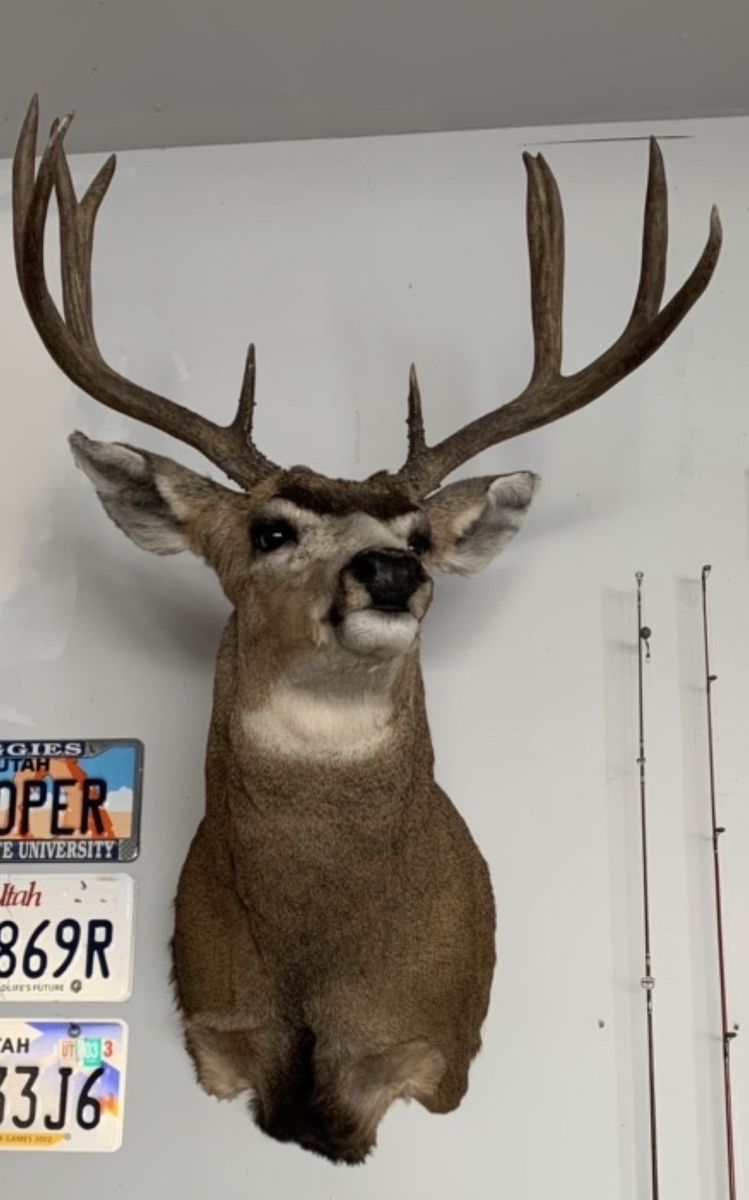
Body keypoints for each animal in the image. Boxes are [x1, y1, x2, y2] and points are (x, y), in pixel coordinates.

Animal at [11, 96, 721, 1164]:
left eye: (420, 533)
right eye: (269, 529)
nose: (393, 572)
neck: (317, 968)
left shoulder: (430, 1046)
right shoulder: (216, 1029)